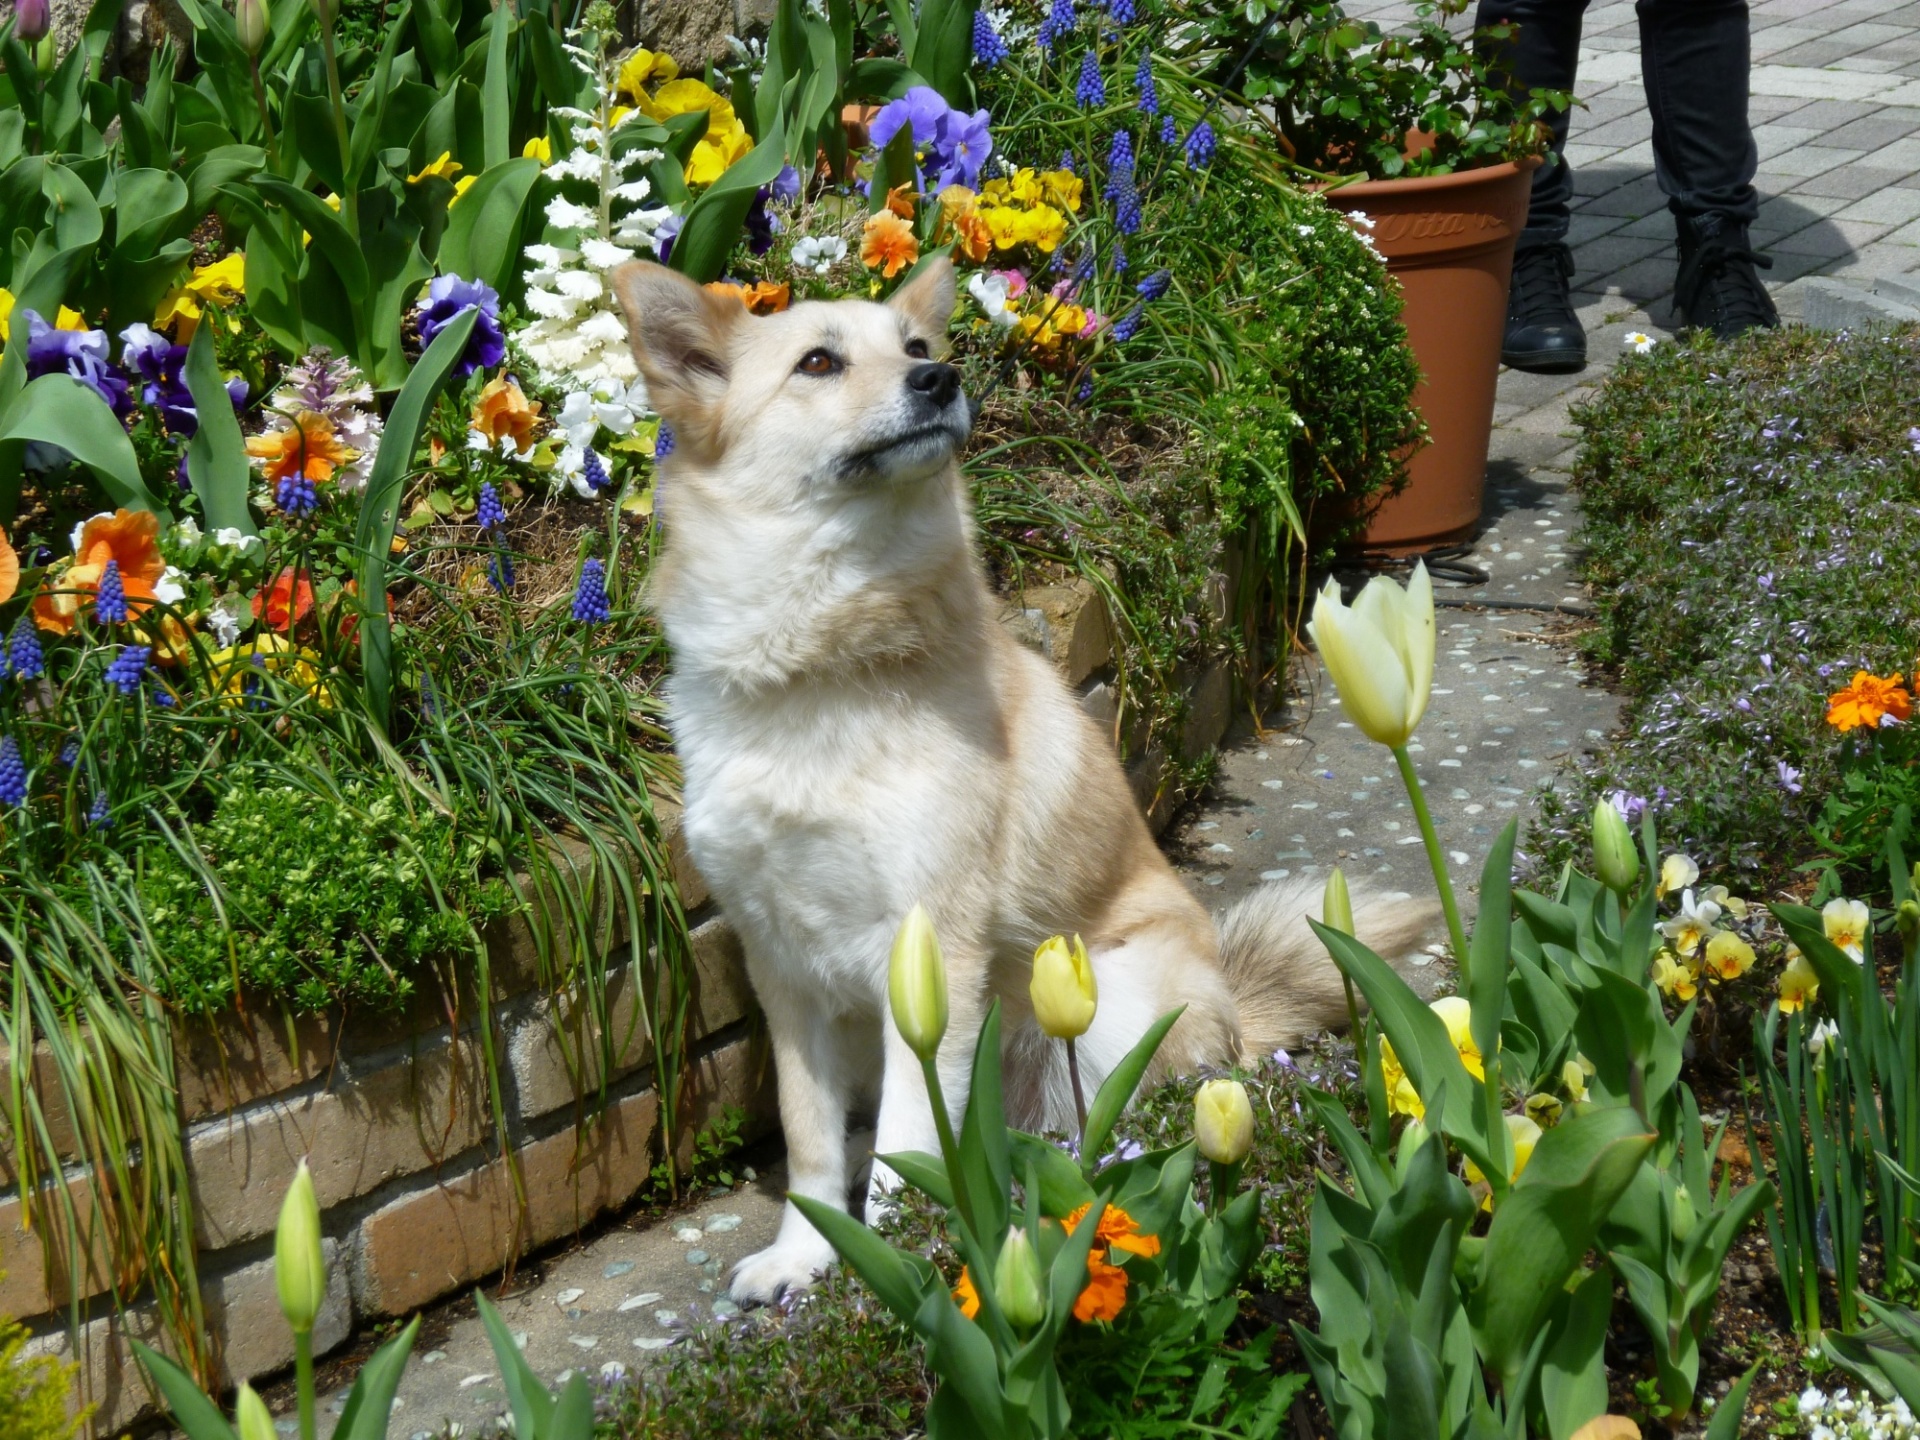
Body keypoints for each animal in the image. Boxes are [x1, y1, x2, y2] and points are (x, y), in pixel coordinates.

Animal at [610, 257, 1428, 1305]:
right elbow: (811, 1141)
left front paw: (899, 1263)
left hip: (1110, 1002)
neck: (822, 666)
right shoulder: (783, 972)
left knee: (1115, 1123)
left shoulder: (931, 961)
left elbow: (909, 1147)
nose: (940, 380)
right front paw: (807, 1255)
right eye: (818, 362)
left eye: (915, 347)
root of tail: (1240, 1012)